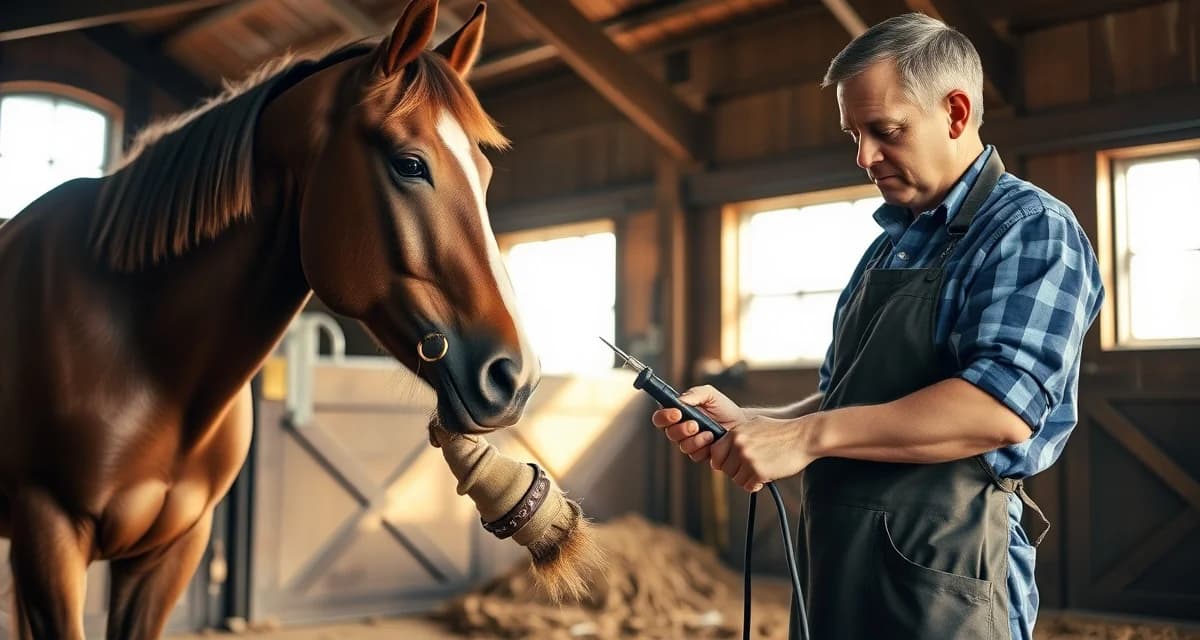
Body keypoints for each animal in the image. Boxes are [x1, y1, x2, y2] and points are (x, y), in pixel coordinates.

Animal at [0, 1, 545, 637]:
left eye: (484, 174)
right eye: (409, 163)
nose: (516, 376)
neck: (144, 351)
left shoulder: (171, 552)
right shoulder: (50, 538)